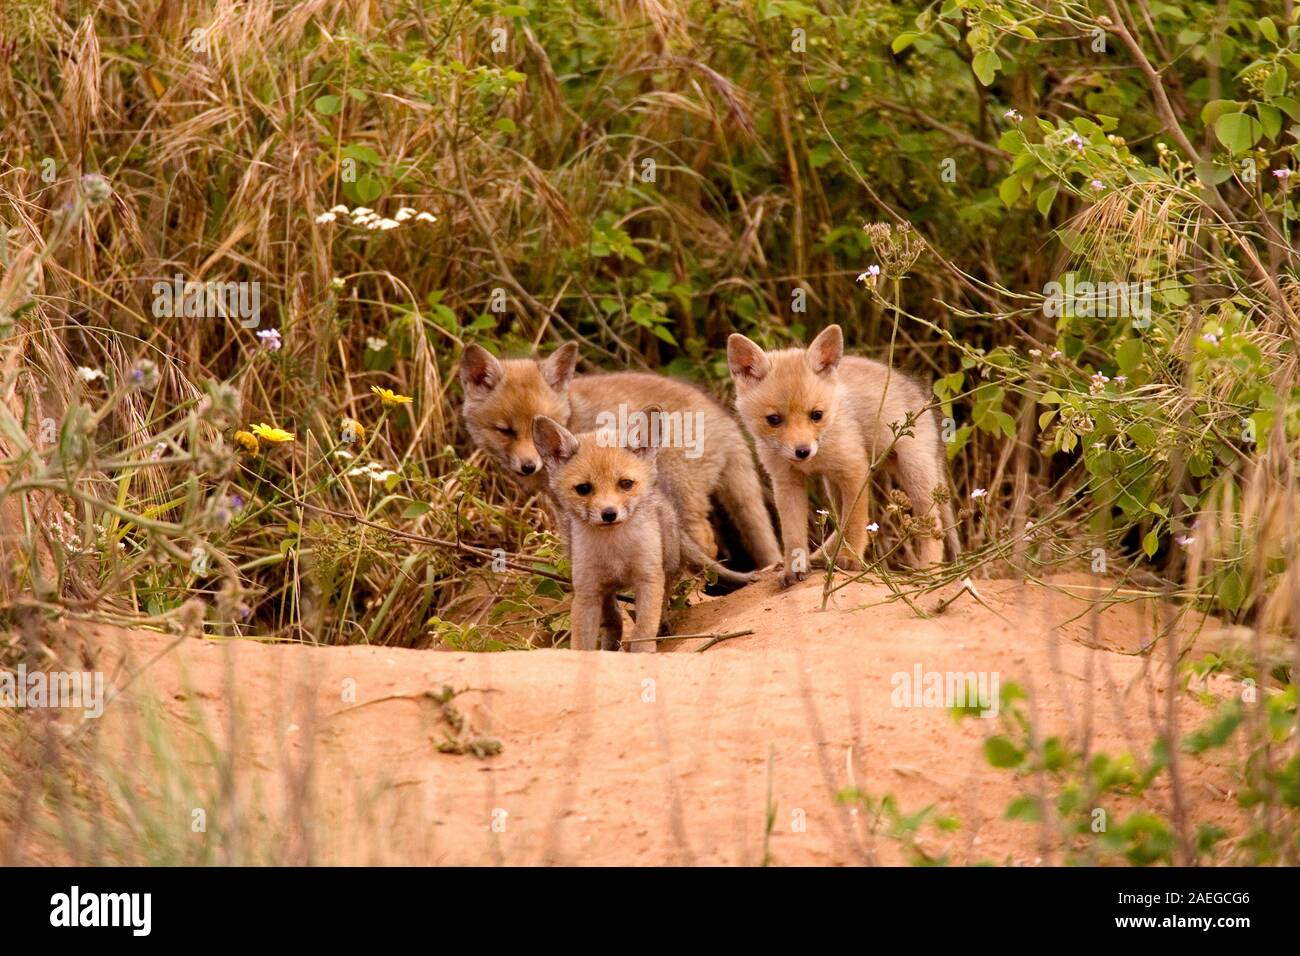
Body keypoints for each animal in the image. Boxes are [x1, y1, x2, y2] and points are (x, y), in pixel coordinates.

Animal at [459, 342, 781, 567]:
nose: (528, 466)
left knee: (705, 541)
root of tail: (727, 420)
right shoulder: (564, 505)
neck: (572, 417)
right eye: (505, 430)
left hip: (679, 492)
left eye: (536, 424)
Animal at [532, 411, 753, 652]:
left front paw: (643, 651)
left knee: (663, 602)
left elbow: (643, 629)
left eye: (626, 484)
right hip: (604, 589)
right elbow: (583, 642)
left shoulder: (649, 578)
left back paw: (662, 627)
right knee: (614, 619)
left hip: (667, 566)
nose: (608, 514)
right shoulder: (587, 590)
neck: (615, 550)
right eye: (583, 489)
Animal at [727, 324, 959, 588]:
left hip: (914, 471)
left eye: (816, 415)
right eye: (773, 420)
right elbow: (793, 533)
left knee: (933, 526)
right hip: (834, 483)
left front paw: (850, 558)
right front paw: (794, 567)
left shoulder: (854, 469)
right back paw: (822, 556)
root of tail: (922, 395)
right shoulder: (786, 481)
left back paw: (927, 573)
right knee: (839, 522)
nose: (802, 451)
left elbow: (855, 522)